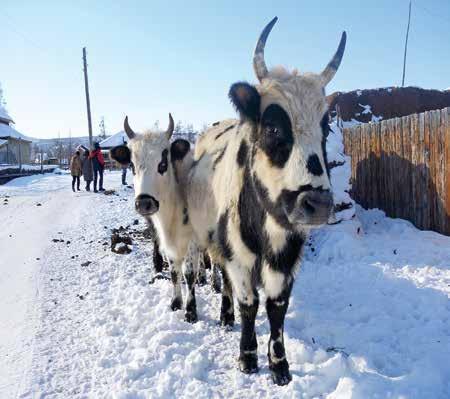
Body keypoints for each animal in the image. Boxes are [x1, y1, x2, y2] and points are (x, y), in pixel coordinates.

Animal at [185, 18, 346, 384]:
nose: (317, 204)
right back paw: (210, 311)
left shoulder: (285, 261)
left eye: (326, 130)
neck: (267, 226)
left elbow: (276, 307)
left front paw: (279, 365)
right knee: (204, 272)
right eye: (273, 128)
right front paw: (247, 357)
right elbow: (249, 303)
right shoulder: (238, 257)